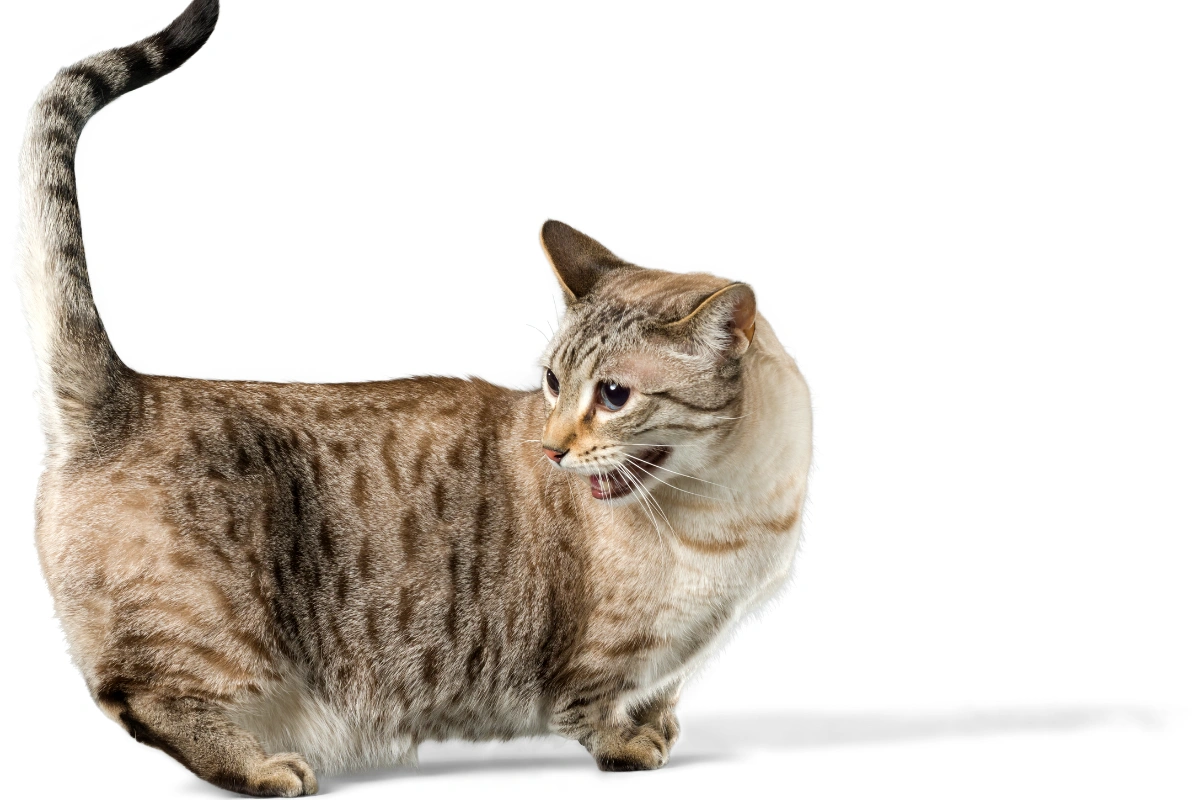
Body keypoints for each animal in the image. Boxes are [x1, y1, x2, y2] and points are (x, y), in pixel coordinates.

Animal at [21, 1, 816, 800]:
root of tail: (128, 392)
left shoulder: (684, 655)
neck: (734, 513)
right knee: (141, 697)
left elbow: (663, 695)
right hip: (210, 634)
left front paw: (663, 729)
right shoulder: (598, 662)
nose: (553, 446)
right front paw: (633, 746)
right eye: (554, 382)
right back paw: (264, 767)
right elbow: (599, 710)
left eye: (614, 395)